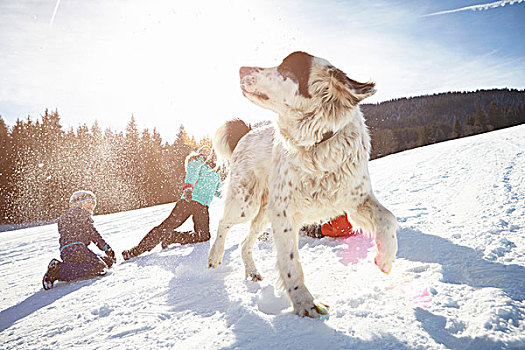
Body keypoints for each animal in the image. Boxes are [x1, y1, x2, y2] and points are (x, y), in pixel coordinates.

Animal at [209, 51, 398, 318]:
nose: (241, 68)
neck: (317, 145)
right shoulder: (284, 216)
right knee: (223, 223)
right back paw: (214, 256)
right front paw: (305, 304)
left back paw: (252, 272)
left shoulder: (355, 201)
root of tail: (247, 133)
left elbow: (388, 218)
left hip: (264, 213)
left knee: (246, 243)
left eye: (286, 68)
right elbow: (291, 264)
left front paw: (385, 258)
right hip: (246, 203)